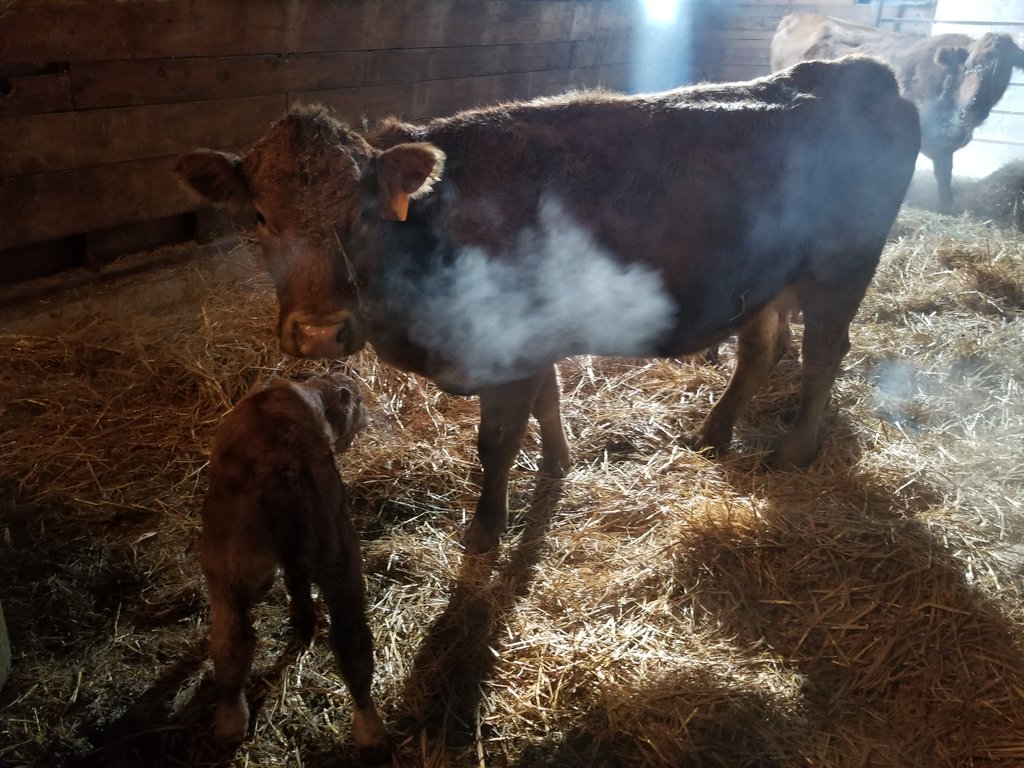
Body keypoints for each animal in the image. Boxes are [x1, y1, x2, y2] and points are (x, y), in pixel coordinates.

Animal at [177, 57, 920, 554]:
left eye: (363, 213)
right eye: (262, 217)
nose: (320, 333)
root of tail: (856, 71)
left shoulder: (507, 346)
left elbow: (498, 439)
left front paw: (486, 529)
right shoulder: (535, 341)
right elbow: (549, 401)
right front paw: (559, 465)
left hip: (841, 270)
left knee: (823, 356)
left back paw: (794, 450)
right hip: (766, 281)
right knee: (762, 350)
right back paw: (713, 434)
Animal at [199, 373, 388, 762]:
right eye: (360, 401)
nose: (366, 416)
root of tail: (279, 467)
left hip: (227, 568)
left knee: (231, 641)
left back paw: (230, 721)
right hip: (339, 555)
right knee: (352, 643)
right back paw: (371, 733)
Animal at [771, 13, 1024, 212]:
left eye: (1003, 73)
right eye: (968, 67)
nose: (973, 110)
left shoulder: (944, 146)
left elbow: (944, 174)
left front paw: (946, 205)